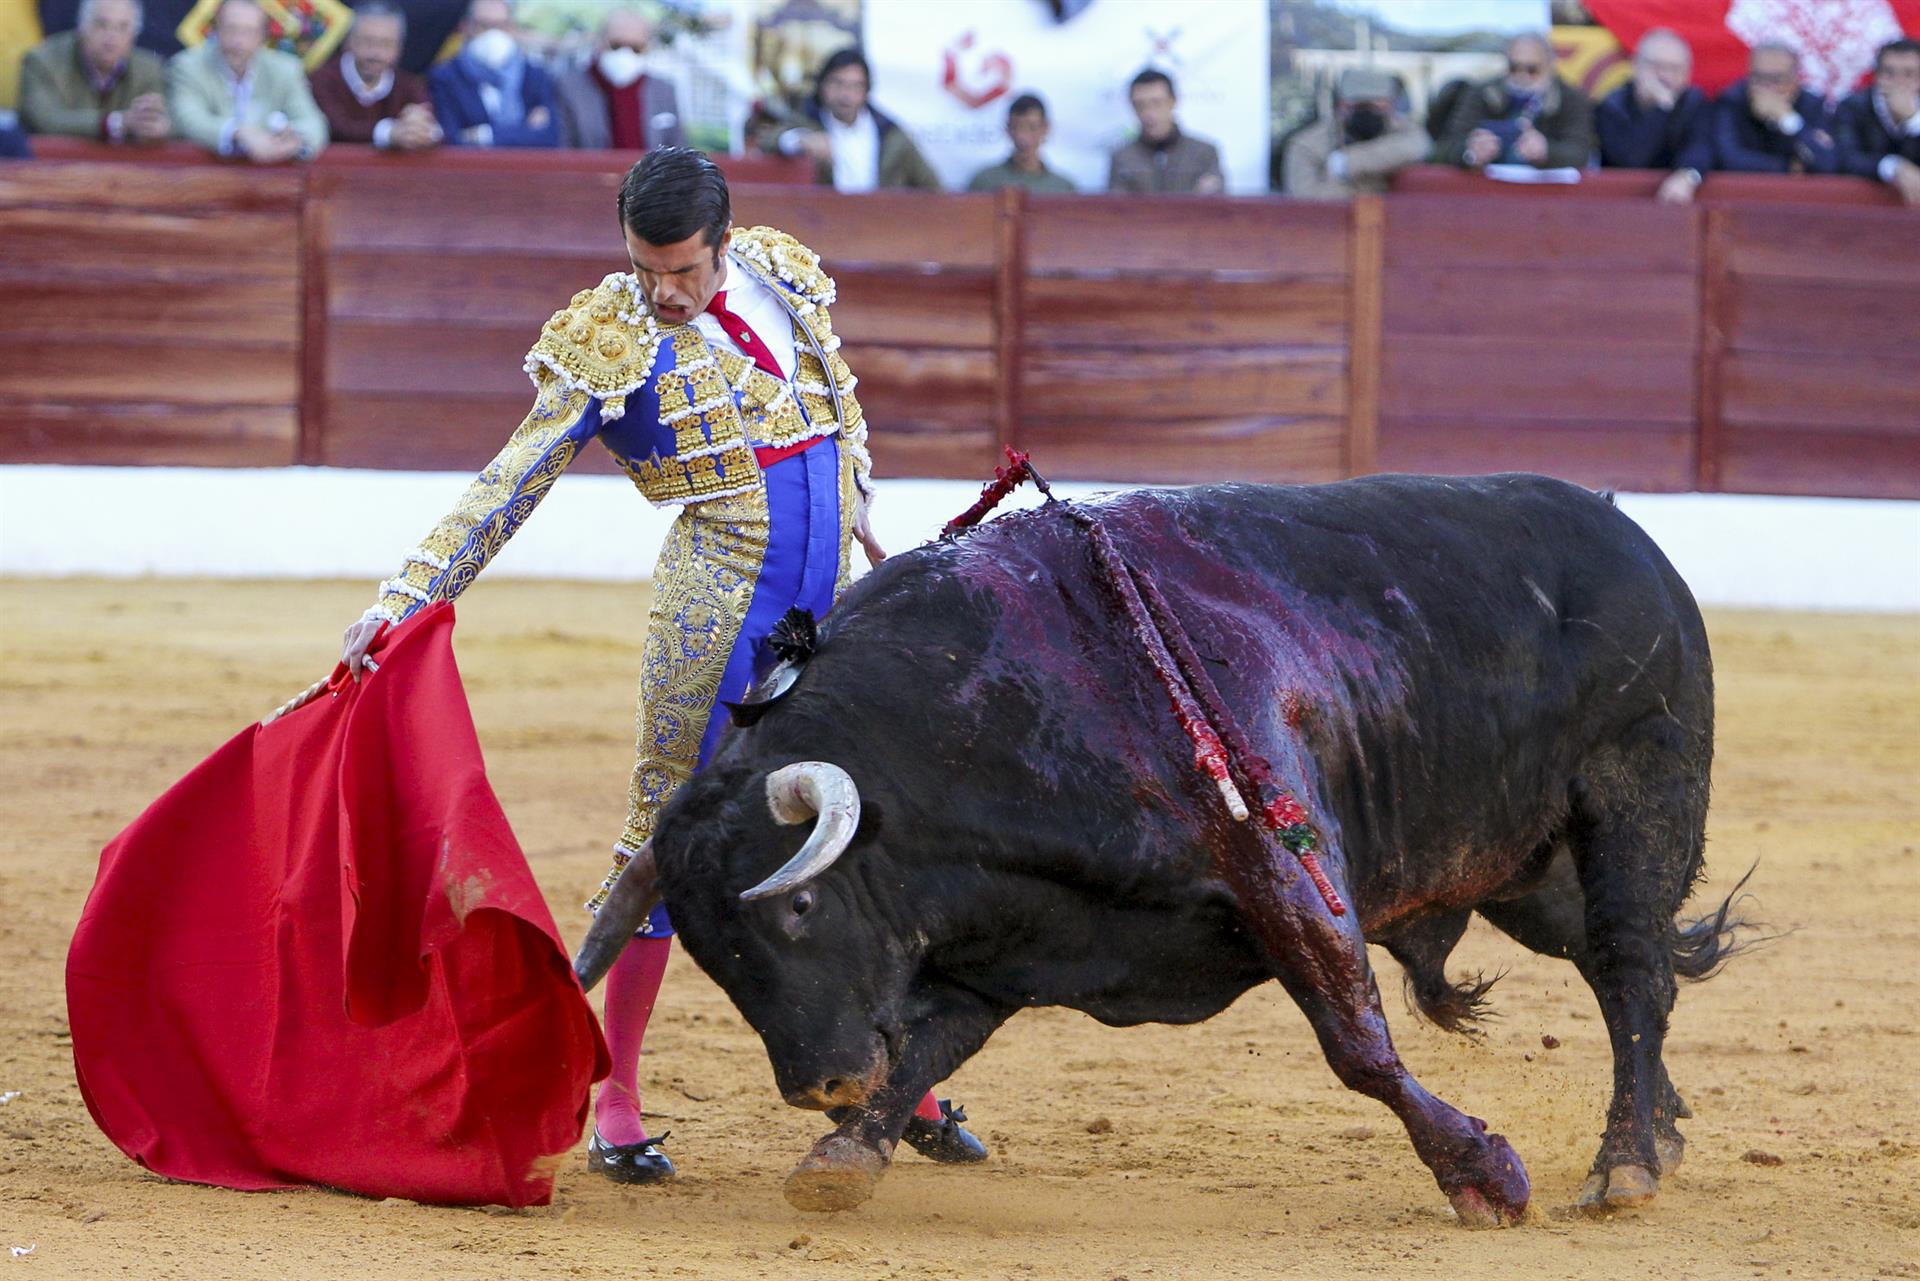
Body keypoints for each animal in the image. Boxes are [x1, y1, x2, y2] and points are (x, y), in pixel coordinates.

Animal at [576, 470, 1751, 1221]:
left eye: (801, 905)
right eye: (712, 953)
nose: (819, 1083)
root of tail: (1631, 539)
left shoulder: (1282, 871)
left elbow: (1357, 1044)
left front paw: (1484, 1175)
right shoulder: (999, 946)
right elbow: (923, 1047)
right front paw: (839, 1157)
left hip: (1634, 801)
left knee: (1634, 967)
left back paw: (1625, 1167)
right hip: (1530, 869)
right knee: (1626, 972)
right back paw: (1661, 1129)